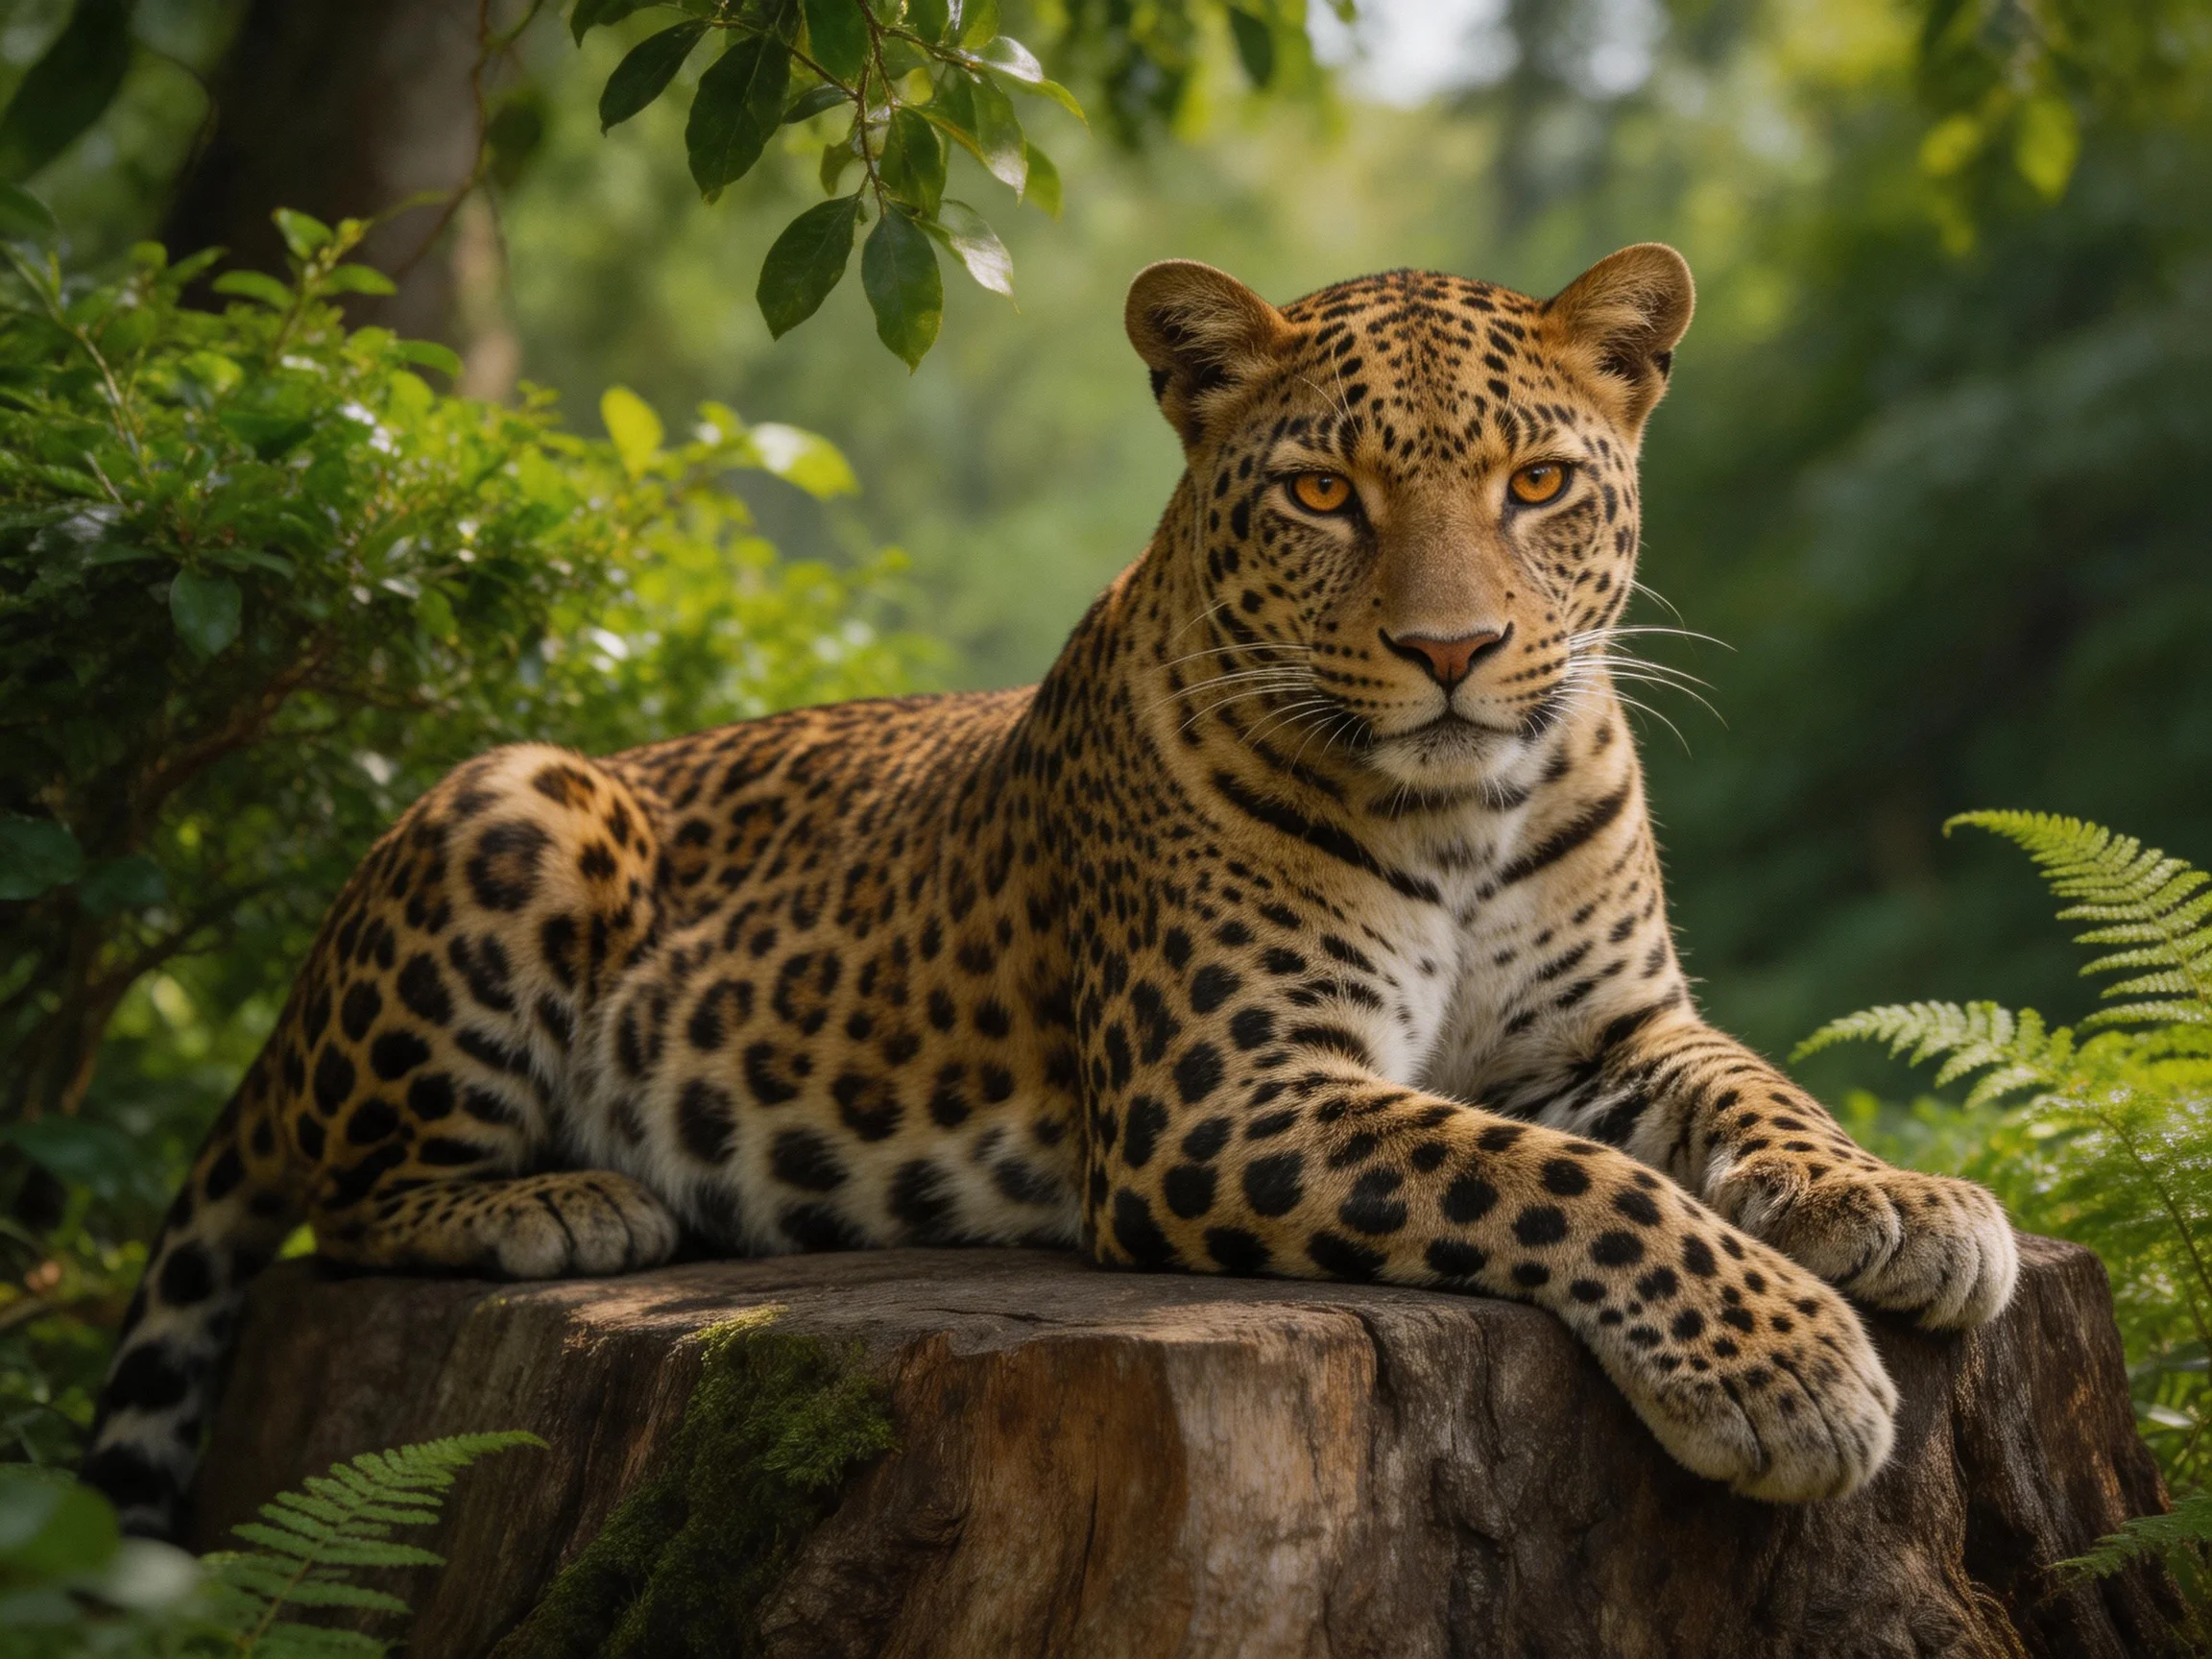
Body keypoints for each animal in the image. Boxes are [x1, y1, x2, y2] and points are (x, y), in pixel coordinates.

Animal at [82, 244, 2018, 1540]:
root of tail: (291, 1008)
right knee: (347, 1199)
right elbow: (1567, 1182)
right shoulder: (1218, 1097)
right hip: (516, 800)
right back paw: (560, 1205)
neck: (1465, 809)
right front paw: (1783, 1366)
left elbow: (1751, 1090)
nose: (1453, 652)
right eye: (1323, 491)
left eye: (1536, 483)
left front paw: (1900, 1202)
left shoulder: (1610, 1031)